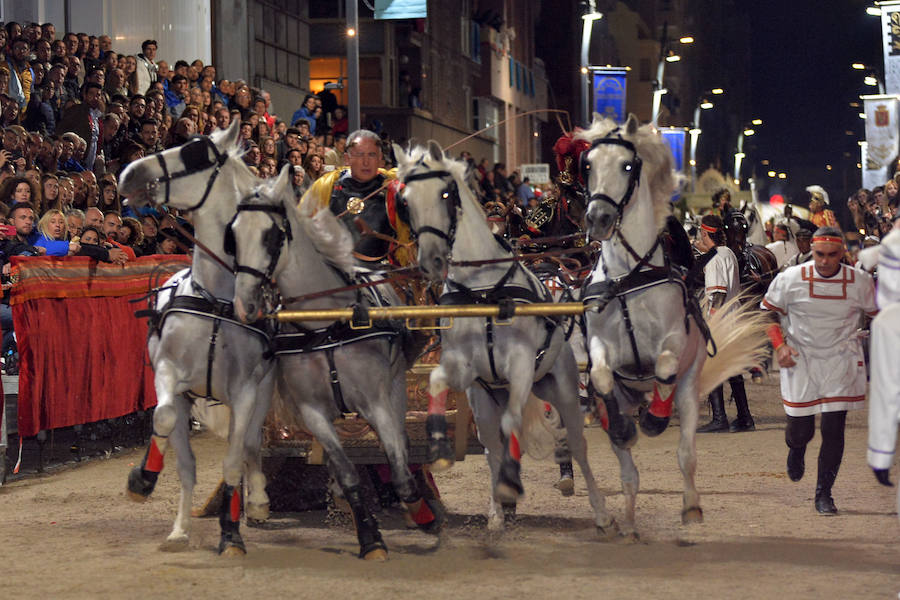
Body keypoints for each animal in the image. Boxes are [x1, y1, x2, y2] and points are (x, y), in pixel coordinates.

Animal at [118, 119, 276, 556]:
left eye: (193, 155)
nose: (127, 174)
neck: (217, 301)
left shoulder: (246, 392)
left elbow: (235, 460)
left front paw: (232, 532)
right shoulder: (169, 375)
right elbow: (164, 419)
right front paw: (142, 480)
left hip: (262, 394)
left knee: (252, 444)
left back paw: (257, 501)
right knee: (185, 462)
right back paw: (179, 530)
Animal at [227, 166, 442, 560]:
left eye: (271, 235)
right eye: (233, 235)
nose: (245, 303)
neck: (324, 324)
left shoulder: (376, 402)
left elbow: (400, 472)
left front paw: (422, 514)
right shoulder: (312, 411)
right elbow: (347, 473)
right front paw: (370, 537)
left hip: (396, 389)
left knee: (403, 449)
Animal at [396, 142, 616, 536]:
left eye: (445, 193)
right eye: (405, 201)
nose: (429, 258)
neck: (484, 288)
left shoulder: (522, 367)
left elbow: (516, 426)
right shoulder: (471, 378)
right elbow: (484, 437)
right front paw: (496, 509)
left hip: (558, 383)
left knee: (575, 439)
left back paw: (600, 511)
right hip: (496, 393)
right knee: (500, 441)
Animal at [580, 113, 768, 536]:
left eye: (627, 166)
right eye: (589, 165)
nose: (598, 219)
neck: (628, 276)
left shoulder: (672, 342)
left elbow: (665, 367)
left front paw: (654, 418)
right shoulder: (599, 344)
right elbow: (600, 375)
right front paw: (617, 420)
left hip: (689, 392)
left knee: (686, 455)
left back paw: (689, 501)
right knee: (629, 473)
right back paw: (627, 518)